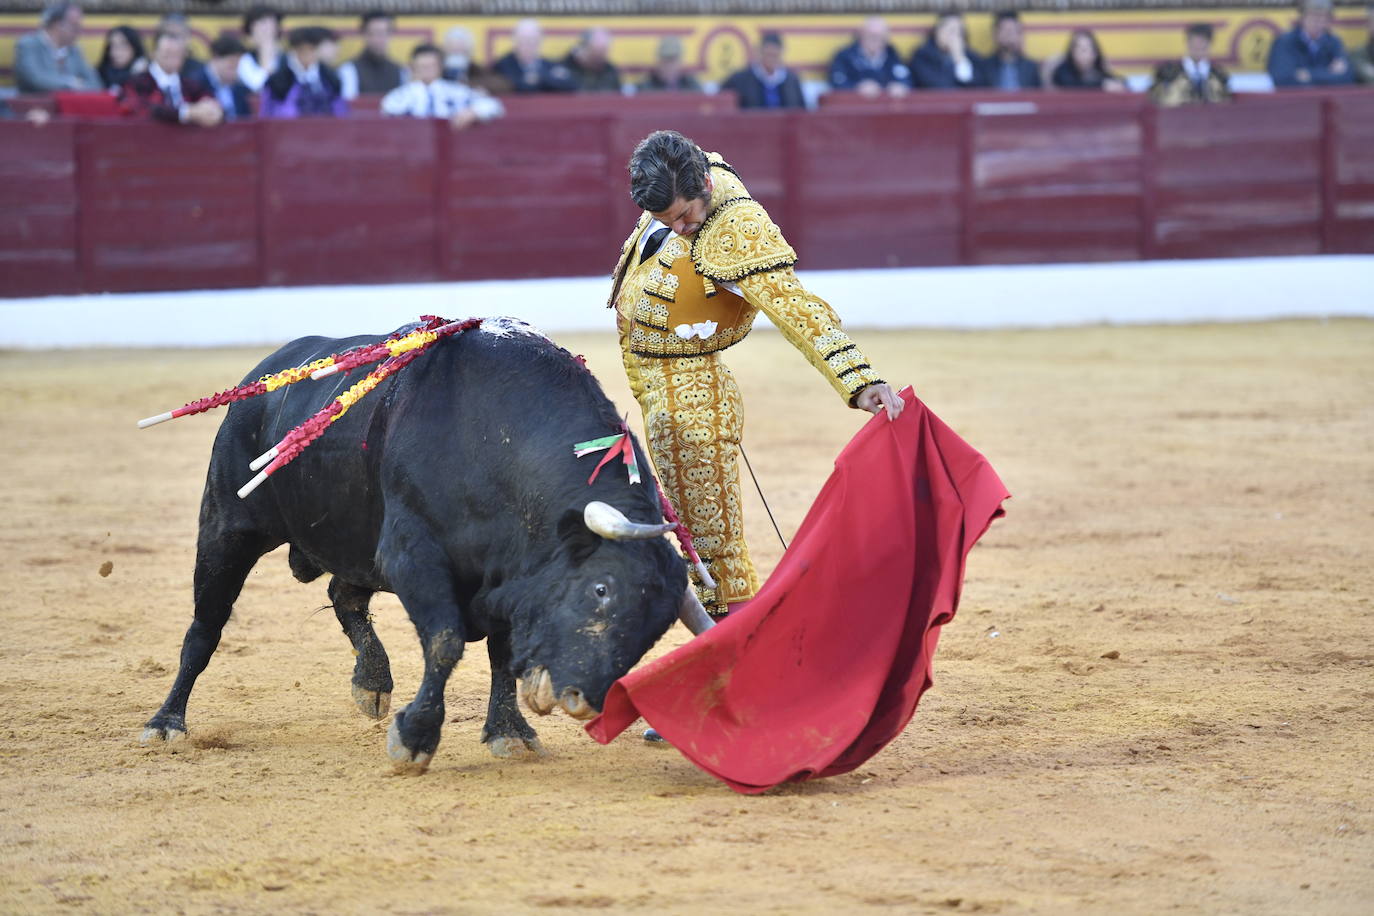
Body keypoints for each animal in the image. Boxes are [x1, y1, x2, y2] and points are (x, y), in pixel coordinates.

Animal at [142, 322, 687, 774]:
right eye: (601, 590)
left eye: (659, 628)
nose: (581, 700)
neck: (495, 437)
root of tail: (265, 374)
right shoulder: (413, 555)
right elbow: (445, 639)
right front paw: (414, 739)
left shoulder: (508, 576)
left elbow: (501, 651)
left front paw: (509, 733)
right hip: (227, 528)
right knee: (206, 626)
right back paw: (166, 723)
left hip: (354, 543)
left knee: (344, 595)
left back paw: (372, 684)